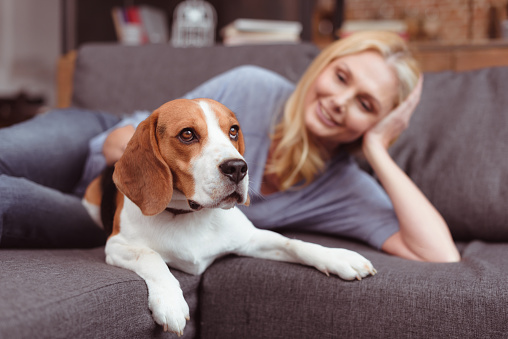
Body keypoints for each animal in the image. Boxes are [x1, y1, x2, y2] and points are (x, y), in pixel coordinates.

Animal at [82, 99, 378, 338]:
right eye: (187, 134)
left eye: (233, 131)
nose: (238, 168)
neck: (192, 215)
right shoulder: (116, 245)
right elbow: (150, 256)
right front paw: (170, 301)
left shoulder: (251, 239)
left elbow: (294, 243)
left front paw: (338, 257)